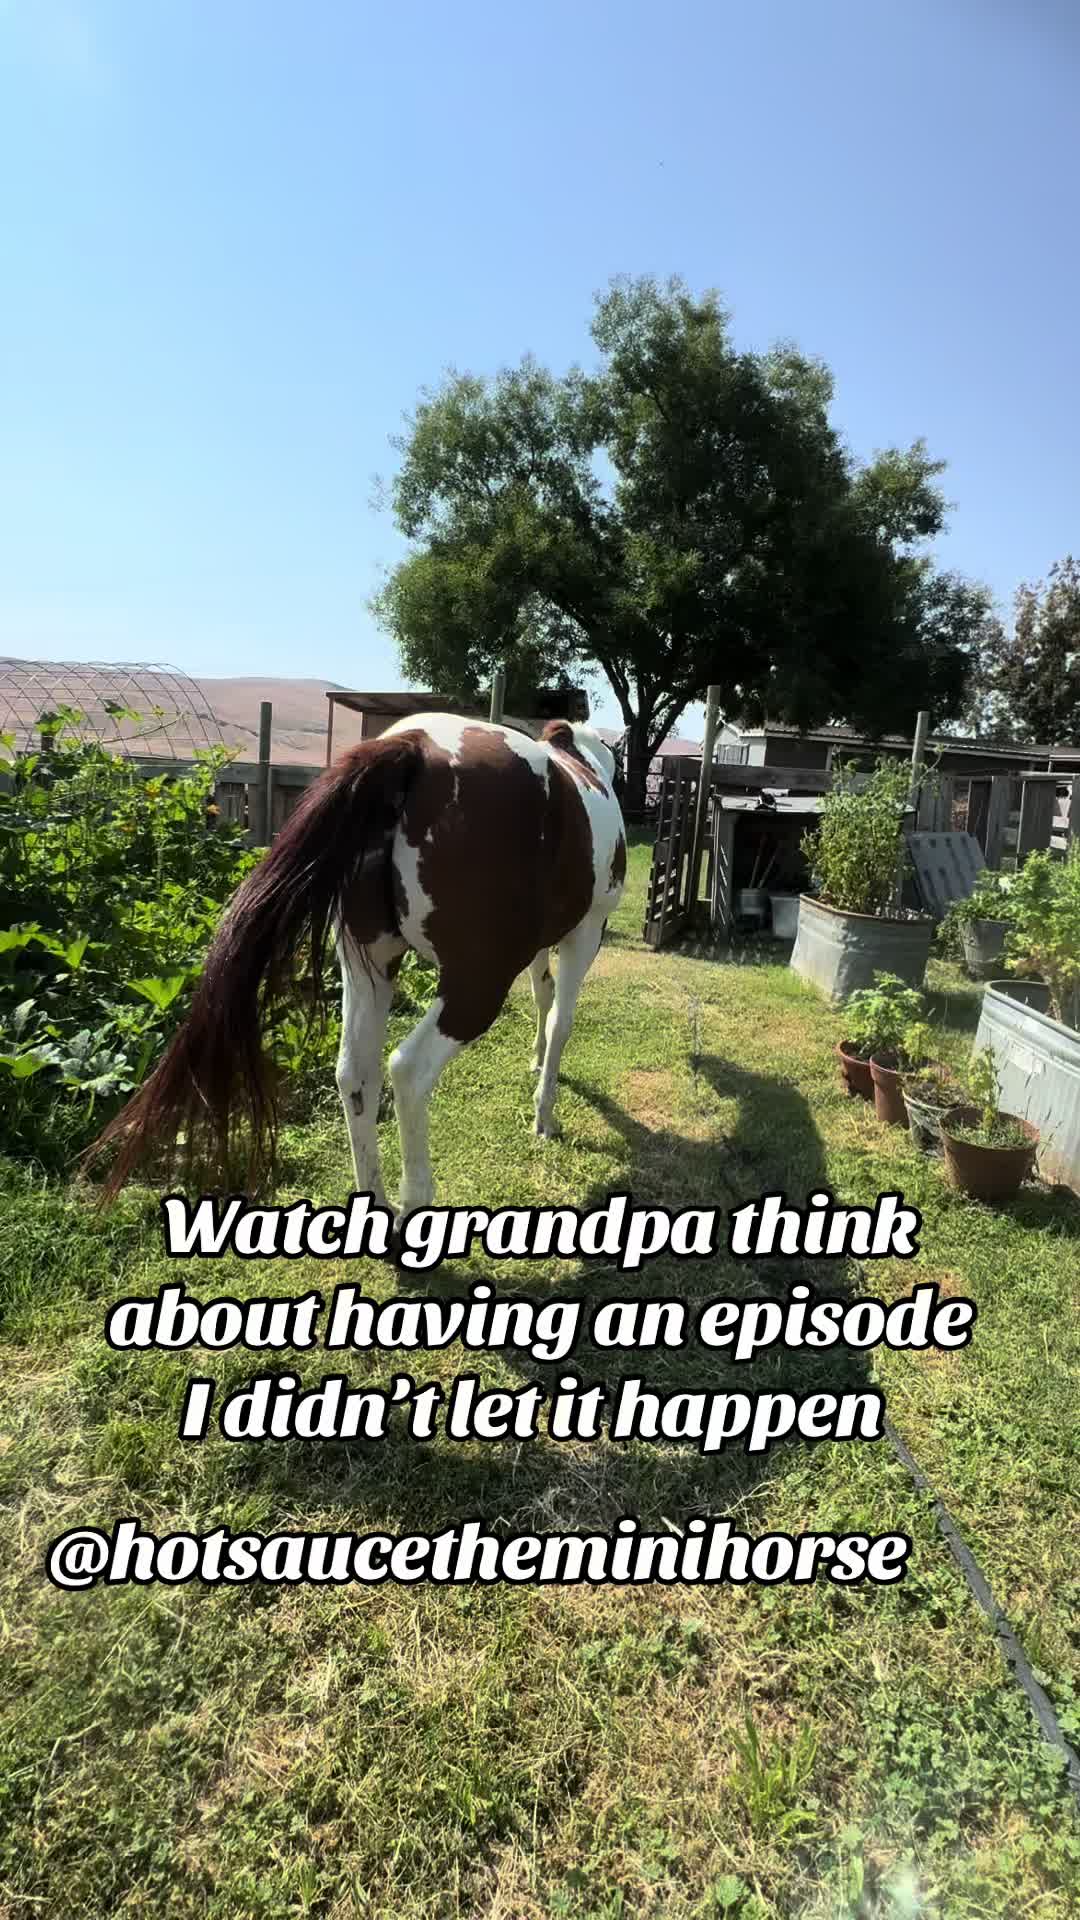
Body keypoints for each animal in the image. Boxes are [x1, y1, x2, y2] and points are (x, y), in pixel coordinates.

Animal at [91, 714, 627, 1222]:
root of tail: (413, 746)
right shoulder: (585, 934)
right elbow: (561, 1021)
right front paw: (545, 1116)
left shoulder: (545, 941)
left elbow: (543, 994)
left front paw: (536, 1066)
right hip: (476, 981)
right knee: (407, 1070)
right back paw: (416, 1200)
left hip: (369, 965)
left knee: (355, 1074)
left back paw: (376, 1199)